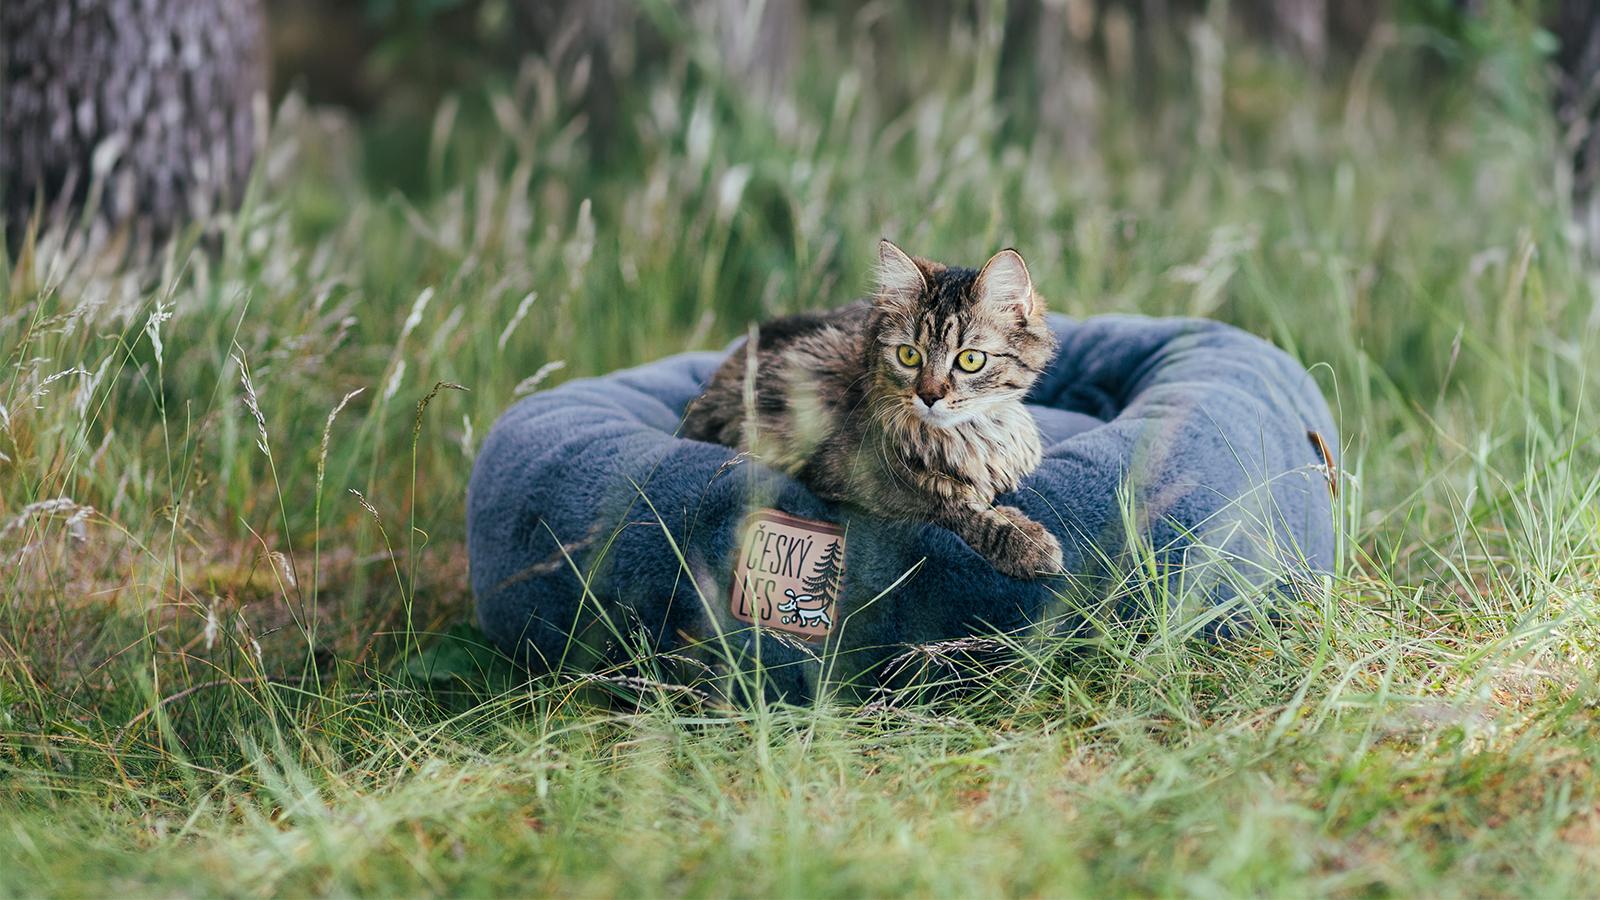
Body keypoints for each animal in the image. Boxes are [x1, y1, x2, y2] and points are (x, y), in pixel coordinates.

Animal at [678, 240, 1062, 573]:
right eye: (909, 355)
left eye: (970, 360)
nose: (929, 396)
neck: (969, 435)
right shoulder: (855, 479)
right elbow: (947, 503)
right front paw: (1026, 540)